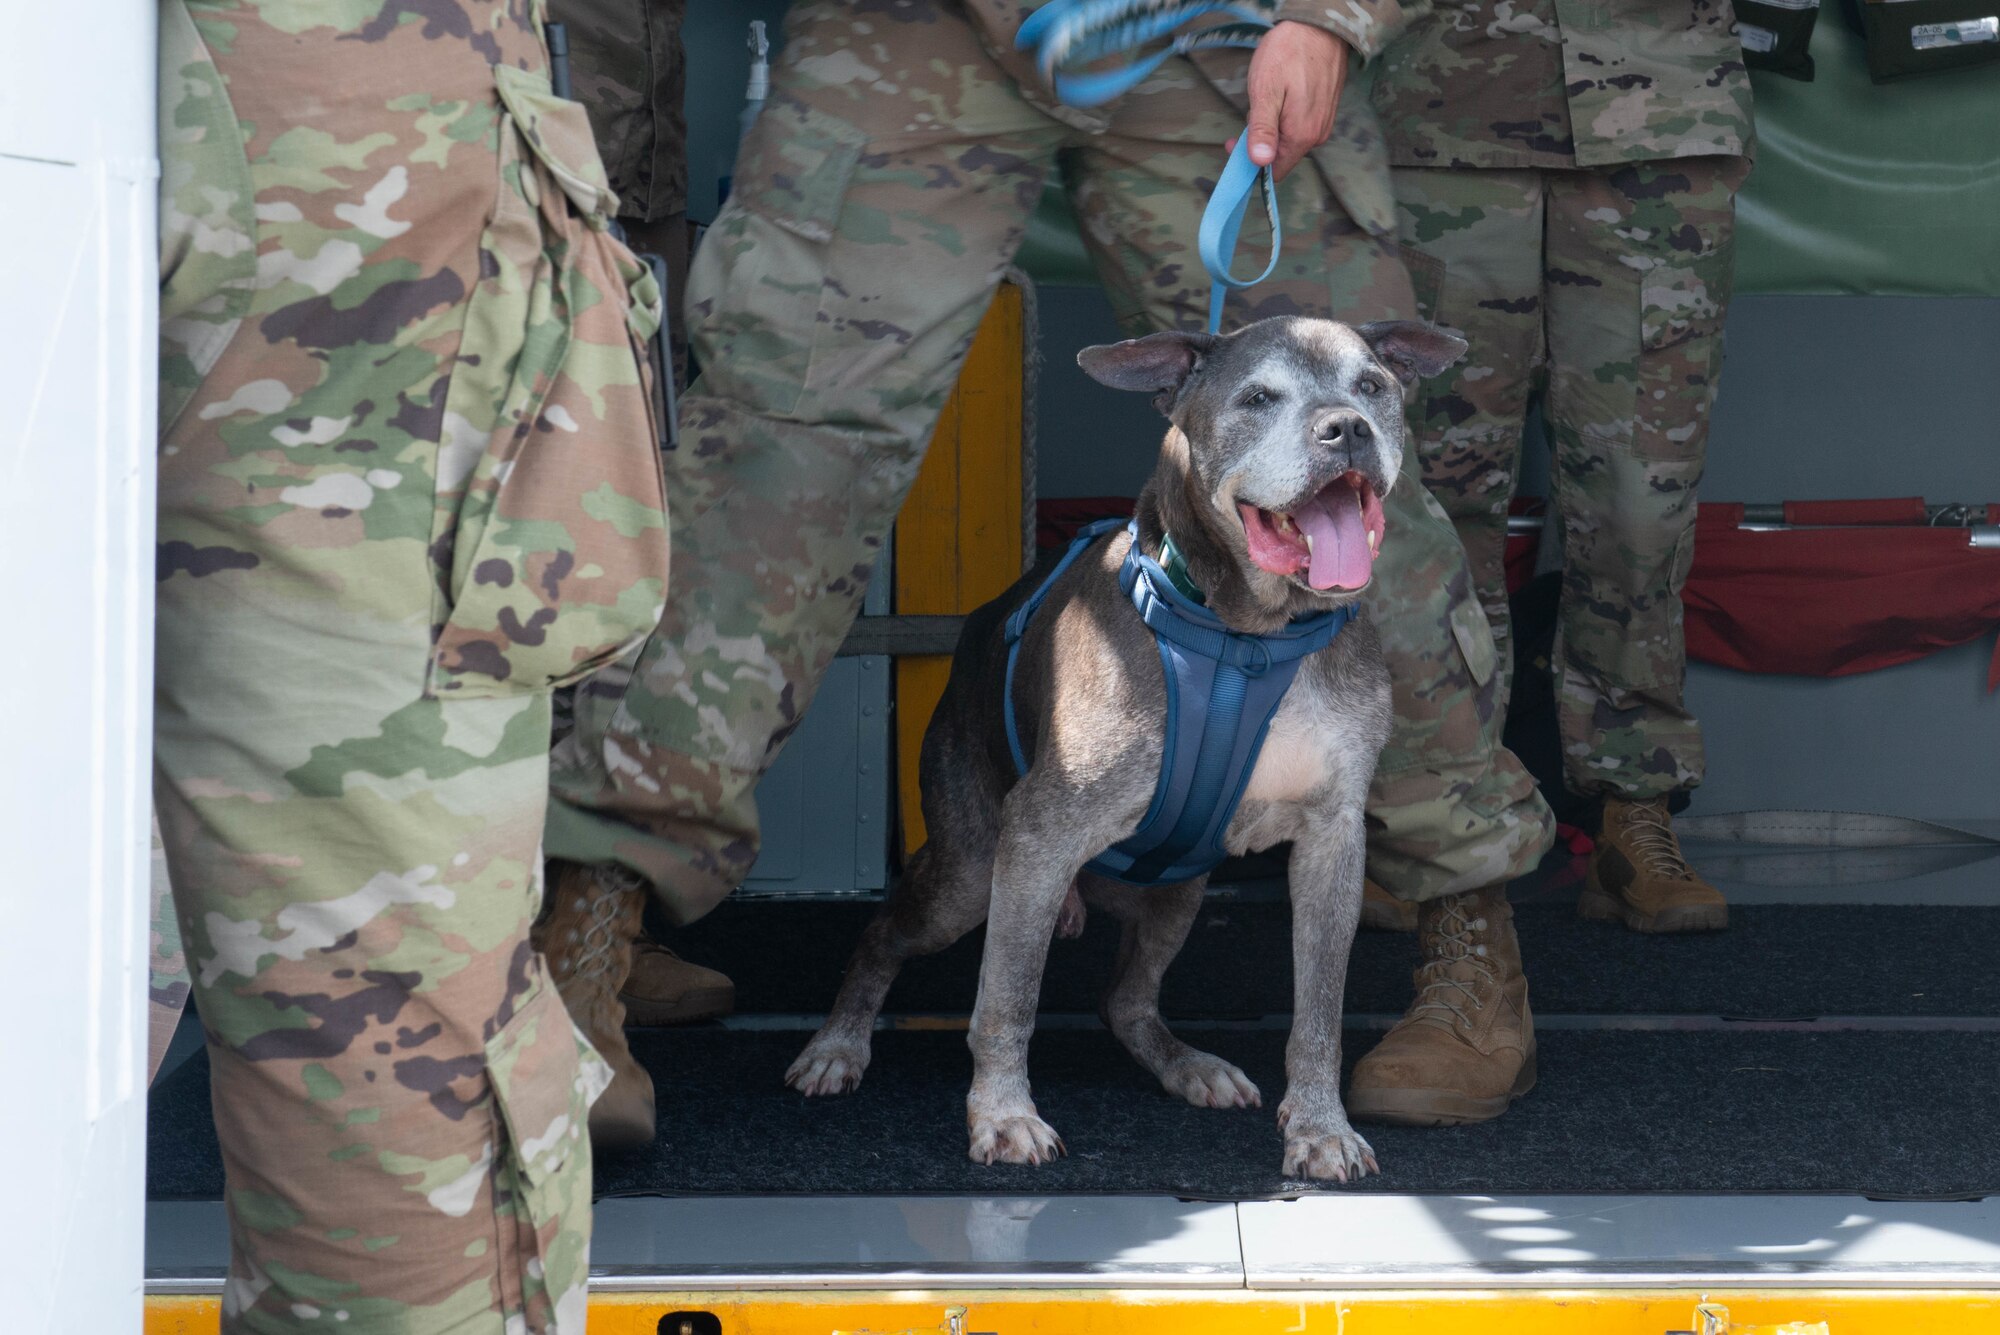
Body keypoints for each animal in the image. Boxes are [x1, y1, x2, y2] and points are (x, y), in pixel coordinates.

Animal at [788, 317, 1464, 1183]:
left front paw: (1319, 1127)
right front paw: (1003, 1114)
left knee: (1126, 1000)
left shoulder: (1332, 839)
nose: (1347, 429)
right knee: (883, 934)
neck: (1248, 635)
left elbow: (1320, 1009)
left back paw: (1190, 1067)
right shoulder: (1038, 837)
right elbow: (1007, 996)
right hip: (968, 877)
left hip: (1180, 886)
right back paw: (837, 1045)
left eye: (1372, 385)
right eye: (1257, 398)